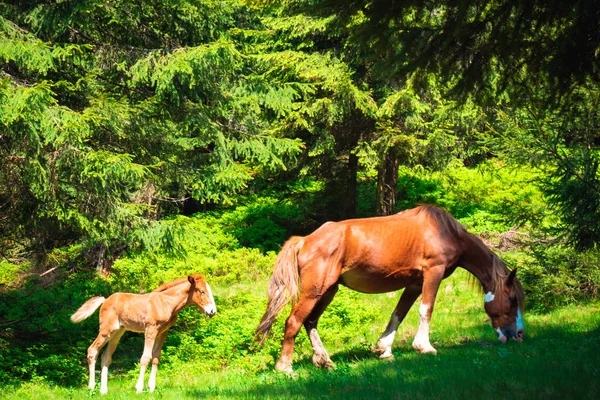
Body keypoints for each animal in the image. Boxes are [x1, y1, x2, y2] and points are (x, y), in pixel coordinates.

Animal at [71, 276, 216, 394]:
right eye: (201, 291)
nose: (212, 311)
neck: (166, 303)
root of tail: (105, 300)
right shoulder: (150, 329)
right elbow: (145, 357)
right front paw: (139, 388)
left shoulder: (162, 332)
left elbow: (156, 357)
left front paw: (151, 388)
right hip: (106, 331)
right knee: (92, 350)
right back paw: (91, 387)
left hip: (117, 333)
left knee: (106, 356)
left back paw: (104, 390)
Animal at [256, 205, 524, 374]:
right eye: (512, 299)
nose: (518, 335)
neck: (445, 231)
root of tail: (304, 240)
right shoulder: (433, 274)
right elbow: (426, 310)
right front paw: (424, 347)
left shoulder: (414, 283)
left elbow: (399, 313)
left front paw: (384, 349)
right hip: (315, 291)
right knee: (294, 321)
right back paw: (285, 367)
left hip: (328, 290)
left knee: (310, 322)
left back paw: (324, 361)